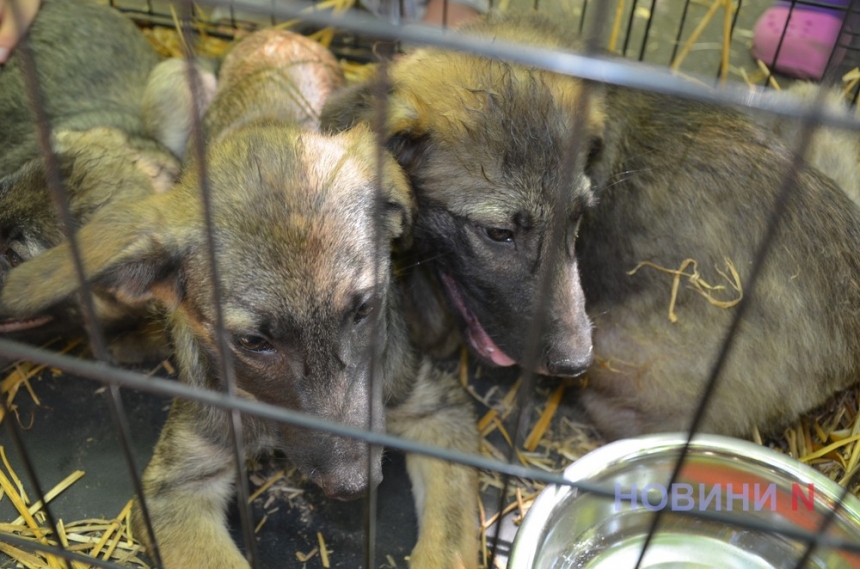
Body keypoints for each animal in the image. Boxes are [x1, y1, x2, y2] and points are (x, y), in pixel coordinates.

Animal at [0, 30, 478, 568]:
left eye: (363, 310)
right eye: (252, 342)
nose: (355, 486)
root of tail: (276, 33)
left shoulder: (436, 408)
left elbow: (448, 542)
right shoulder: (176, 486)